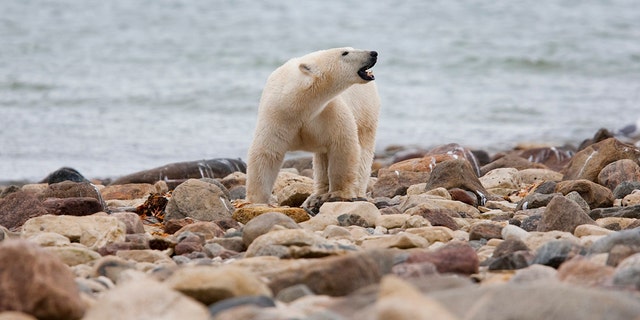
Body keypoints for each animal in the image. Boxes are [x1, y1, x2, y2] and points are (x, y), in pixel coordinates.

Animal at [245, 47, 380, 205]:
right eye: (345, 52)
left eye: (350, 49)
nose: (373, 53)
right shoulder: (277, 115)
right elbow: (267, 153)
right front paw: (256, 200)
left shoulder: (328, 112)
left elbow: (343, 146)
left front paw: (340, 193)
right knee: (322, 158)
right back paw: (317, 195)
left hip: (366, 112)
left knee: (364, 151)